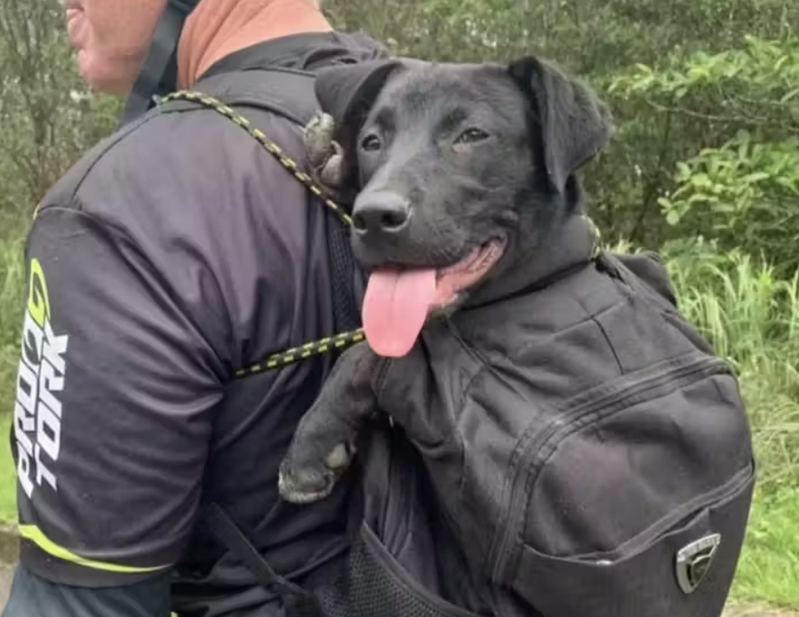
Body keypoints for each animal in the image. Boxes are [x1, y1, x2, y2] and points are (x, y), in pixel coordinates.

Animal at [276, 55, 612, 502]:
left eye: (472, 135)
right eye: (371, 142)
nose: (375, 217)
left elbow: (374, 350)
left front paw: (312, 443)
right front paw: (330, 160)